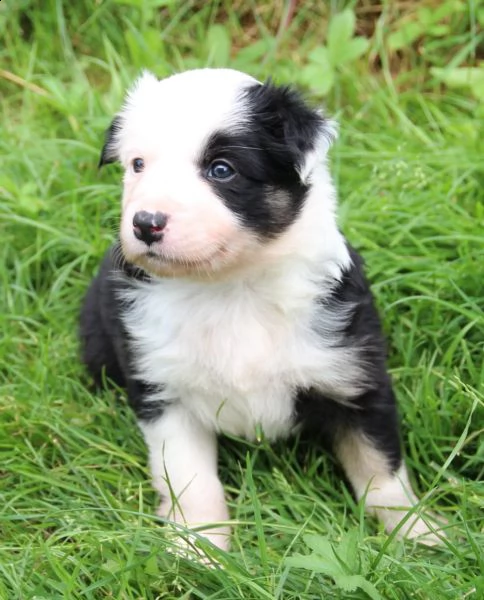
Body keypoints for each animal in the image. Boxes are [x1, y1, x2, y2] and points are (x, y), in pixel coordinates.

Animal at [81, 68, 440, 552]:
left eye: (221, 170)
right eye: (138, 165)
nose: (145, 223)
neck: (231, 289)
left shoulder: (354, 376)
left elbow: (381, 468)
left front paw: (418, 535)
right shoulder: (164, 392)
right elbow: (191, 481)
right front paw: (199, 551)